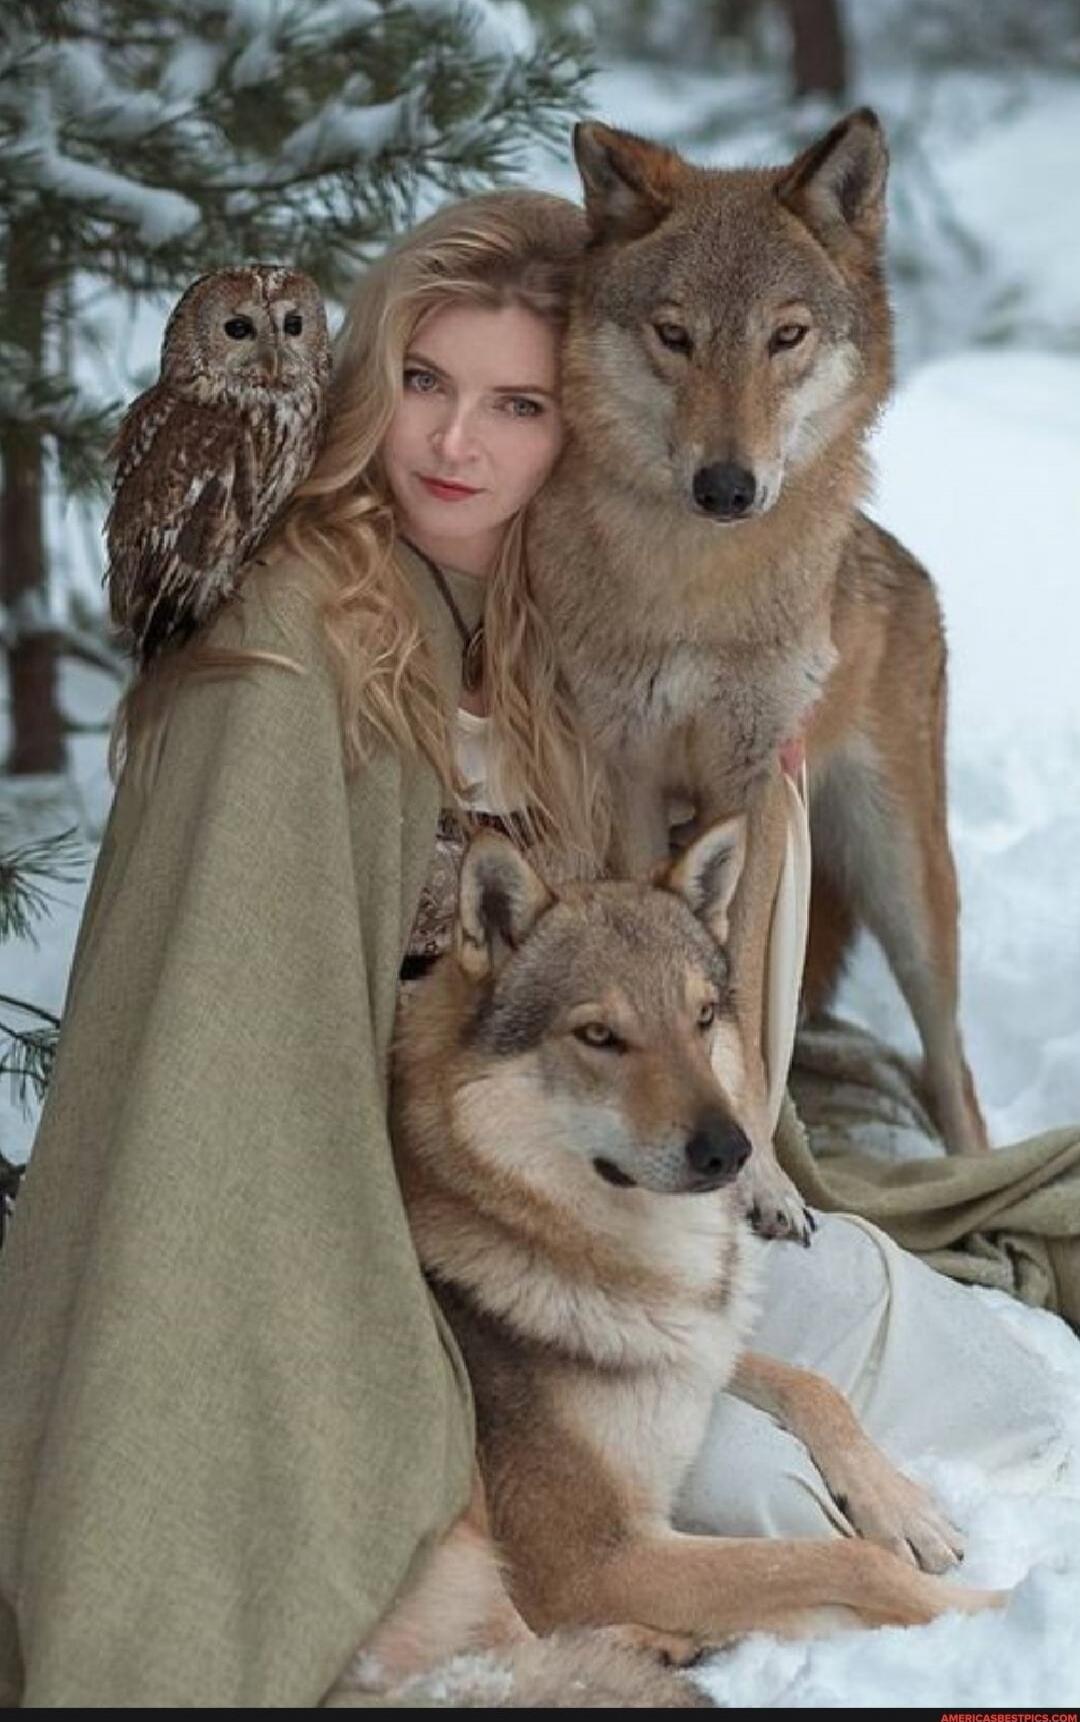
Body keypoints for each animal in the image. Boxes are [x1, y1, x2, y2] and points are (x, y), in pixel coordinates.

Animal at [390, 823, 1003, 1654]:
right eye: (599, 1036)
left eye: (704, 1016)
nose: (734, 1150)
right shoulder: (593, 1561)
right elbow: (846, 1561)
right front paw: (1003, 1608)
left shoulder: (700, 1351)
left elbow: (814, 1387)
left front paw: (902, 1507)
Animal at [526, 109, 987, 1242]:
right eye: (675, 334)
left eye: (787, 335)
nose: (727, 486)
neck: (700, 592)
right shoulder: (631, 775)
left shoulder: (758, 788)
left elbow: (736, 1001)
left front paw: (769, 1186)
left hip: (910, 890)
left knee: (953, 1073)